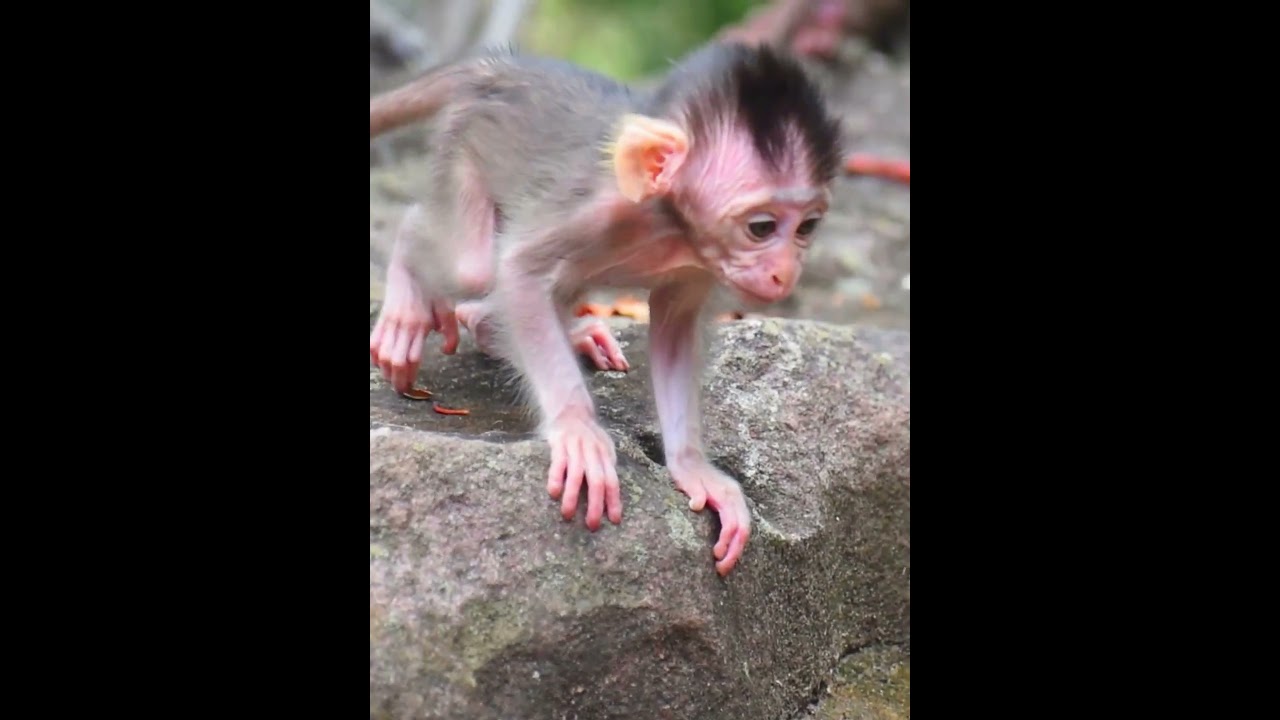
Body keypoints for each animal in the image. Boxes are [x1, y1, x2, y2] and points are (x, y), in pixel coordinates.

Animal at [368, 42, 843, 576]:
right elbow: (519, 269)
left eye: (806, 227)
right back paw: (410, 284)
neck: (666, 220)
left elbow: (675, 328)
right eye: (761, 227)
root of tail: (499, 66)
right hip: (464, 144)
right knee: (468, 263)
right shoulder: (594, 212)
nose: (786, 271)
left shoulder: (698, 262)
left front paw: (692, 467)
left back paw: (511, 326)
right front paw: (577, 429)